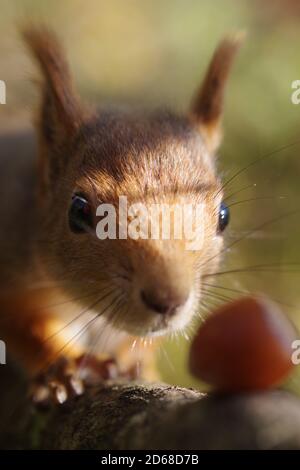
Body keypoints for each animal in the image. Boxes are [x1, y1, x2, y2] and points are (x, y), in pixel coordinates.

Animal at [0, 25, 241, 402]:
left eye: (224, 215)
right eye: (78, 211)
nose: (168, 300)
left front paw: (138, 362)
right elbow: (23, 322)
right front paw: (61, 368)